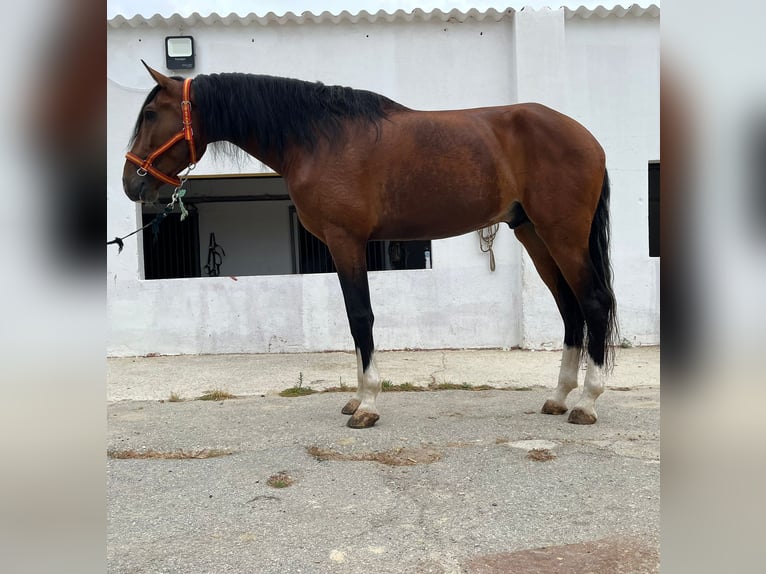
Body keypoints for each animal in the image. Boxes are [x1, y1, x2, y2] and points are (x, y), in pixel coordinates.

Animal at [122, 62, 618, 428]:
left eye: (150, 115)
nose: (131, 183)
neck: (318, 138)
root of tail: (588, 139)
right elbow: (353, 320)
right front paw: (357, 398)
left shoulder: (346, 241)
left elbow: (361, 317)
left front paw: (368, 405)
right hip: (533, 234)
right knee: (569, 309)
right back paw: (558, 397)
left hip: (562, 234)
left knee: (593, 302)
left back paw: (586, 404)